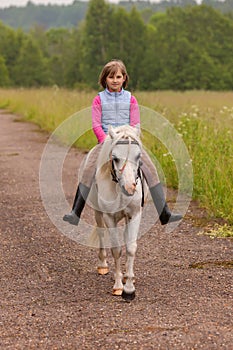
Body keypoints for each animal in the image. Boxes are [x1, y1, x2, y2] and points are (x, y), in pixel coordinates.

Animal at [89, 124, 147, 300]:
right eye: (115, 158)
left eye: (138, 156)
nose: (129, 187)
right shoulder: (109, 217)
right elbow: (116, 250)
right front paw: (119, 286)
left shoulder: (135, 214)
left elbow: (131, 247)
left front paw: (129, 288)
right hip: (98, 213)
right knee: (101, 233)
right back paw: (103, 265)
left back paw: (129, 276)